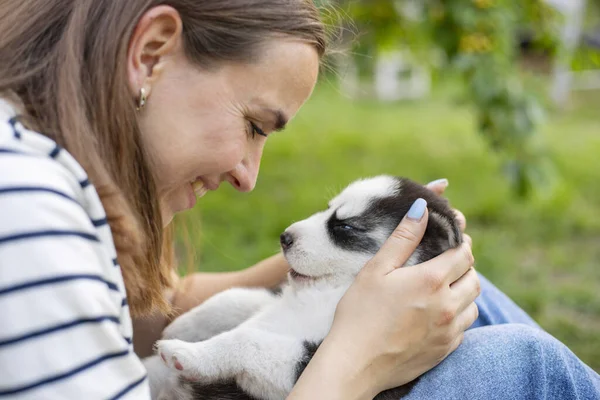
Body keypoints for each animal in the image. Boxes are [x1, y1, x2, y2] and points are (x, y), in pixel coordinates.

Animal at [148, 175, 462, 400]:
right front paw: (184, 325)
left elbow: (246, 339)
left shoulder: (303, 364)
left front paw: (187, 353)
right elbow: (237, 298)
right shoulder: (278, 299)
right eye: (327, 209)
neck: (329, 293)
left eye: (344, 227)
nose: (284, 237)